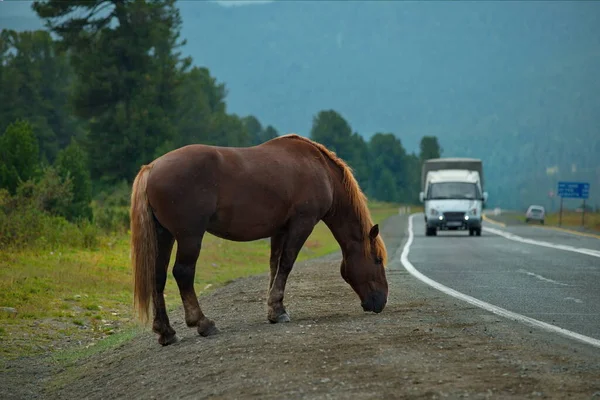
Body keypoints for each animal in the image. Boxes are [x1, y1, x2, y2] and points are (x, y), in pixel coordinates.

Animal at [130, 134, 390, 344]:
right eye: (377, 260)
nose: (381, 301)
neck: (320, 169)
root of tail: (152, 167)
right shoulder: (302, 224)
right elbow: (286, 264)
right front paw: (278, 310)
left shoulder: (280, 230)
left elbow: (274, 266)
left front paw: (273, 310)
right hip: (189, 236)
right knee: (183, 273)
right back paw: (203, 323)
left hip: (164, 235)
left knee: (158, 276)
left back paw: (166, 332)